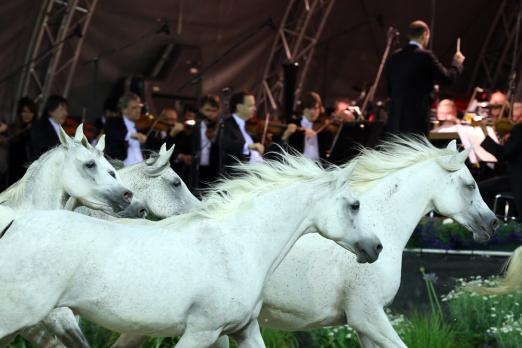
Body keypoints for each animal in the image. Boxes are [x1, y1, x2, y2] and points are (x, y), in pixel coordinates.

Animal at [0, 154, 382, 348]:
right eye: (355, 205)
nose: (376, 247)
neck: (239, 243)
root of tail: (15, 223)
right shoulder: (202, 330)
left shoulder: (243, 329)